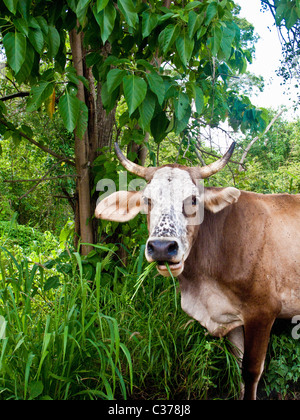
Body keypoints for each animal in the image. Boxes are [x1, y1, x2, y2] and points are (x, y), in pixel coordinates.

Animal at [95, 144, 300, 400]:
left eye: (193, 199)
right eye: (147, 200)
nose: (162, 247)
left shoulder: (263, 312)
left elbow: (251, 371)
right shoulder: (232, 317)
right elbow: (237, 366)